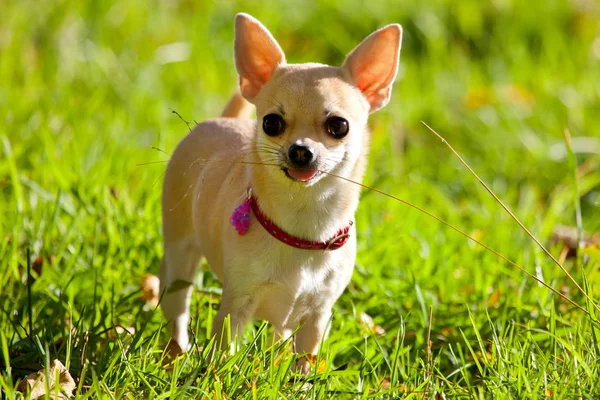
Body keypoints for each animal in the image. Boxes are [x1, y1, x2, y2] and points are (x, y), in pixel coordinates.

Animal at [159, 13, 404, 376]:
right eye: (271, 123)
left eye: (339, 126)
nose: (300, 150)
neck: (303, 227)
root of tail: (222, 120)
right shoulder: (236, 307)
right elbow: (225, 355)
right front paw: (221, 379)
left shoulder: (317, 317)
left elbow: (304, 362)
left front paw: (297, 384)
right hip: (180, 256)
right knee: (177, 308)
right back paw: (176, 354)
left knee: (278, 336)